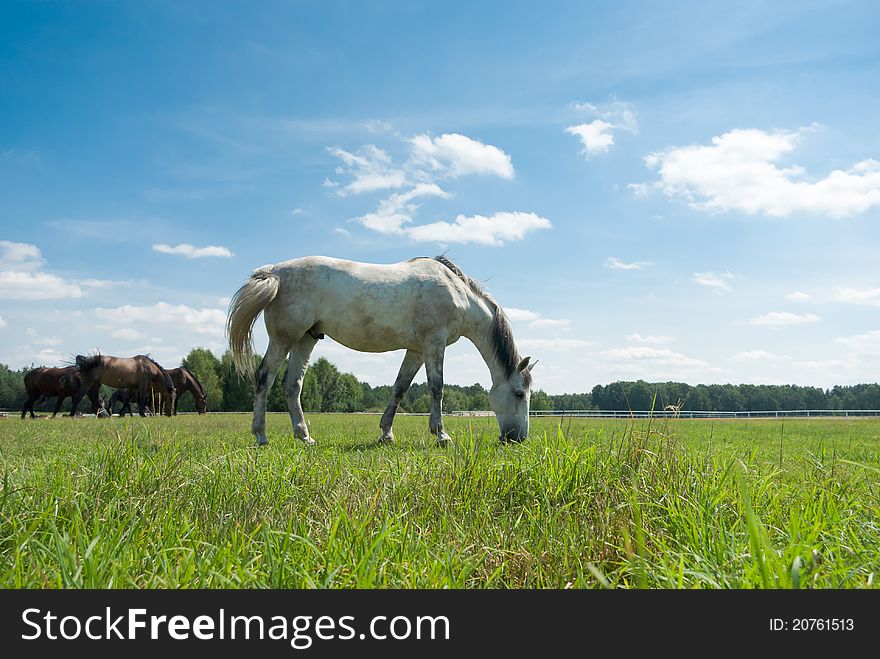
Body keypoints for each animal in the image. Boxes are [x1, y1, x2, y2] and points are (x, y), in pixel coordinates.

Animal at [225, 255, 536, 446]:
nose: (518, 438)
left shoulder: (416, 350)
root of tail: (274, 272)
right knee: (264, 378)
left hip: (305, 339)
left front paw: (386, 434)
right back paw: (261, 436)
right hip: (284, 339)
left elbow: (399, 388)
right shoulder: (434, 344)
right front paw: (441, 435)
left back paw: (305, 437)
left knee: (293, 385)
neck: (457, 292)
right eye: (519, 394)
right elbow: (437, 388)